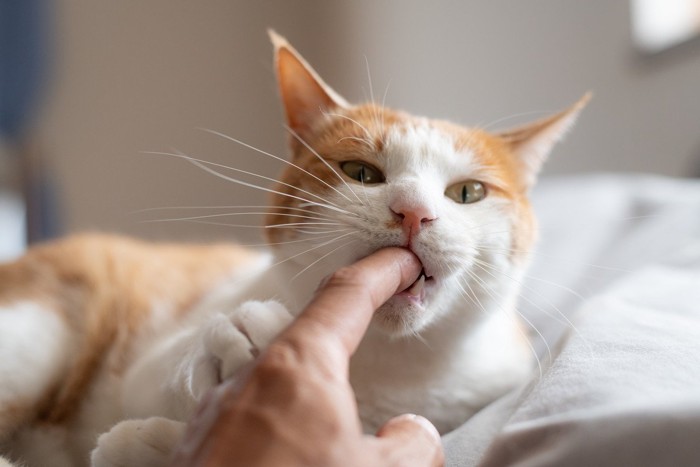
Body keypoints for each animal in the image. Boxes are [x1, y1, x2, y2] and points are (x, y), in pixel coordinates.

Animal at [0, 31, 588, 466]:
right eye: (360, 172)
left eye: (468, 193)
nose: (413, 212)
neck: (384, 369)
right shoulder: (142, 367)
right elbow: (157, 374)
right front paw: (231, 340)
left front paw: (147, 444)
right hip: (37, 334)